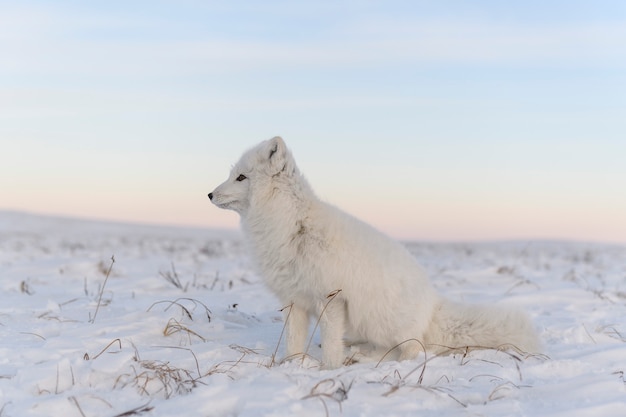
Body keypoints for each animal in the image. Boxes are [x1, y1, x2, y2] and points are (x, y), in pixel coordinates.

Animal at [207, 136, 540, 368]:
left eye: (241, 177)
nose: (209, 194)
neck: (291, 225)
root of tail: (433, 305)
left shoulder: (331, 298)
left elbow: (330, 345)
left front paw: (328, 371)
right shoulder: (295, 300)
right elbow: (293, 341)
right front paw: (291, 365)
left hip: (380, 320)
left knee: (409, 351)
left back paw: (364, 358)